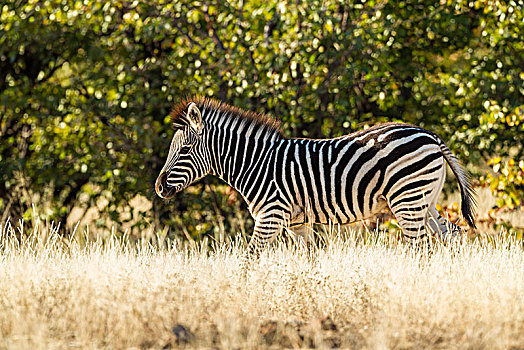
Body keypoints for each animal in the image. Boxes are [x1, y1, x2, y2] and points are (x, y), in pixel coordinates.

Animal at [155, 97, 474, 262]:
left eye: (184, 150)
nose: (159, 187)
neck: (255, 163)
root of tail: (429, 135)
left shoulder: (270, 216)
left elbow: (250, 258)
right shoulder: (296, 223)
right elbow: (309, 260)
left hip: (407, 199)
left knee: (420, 247)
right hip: (424, 200)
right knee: (453, 234)